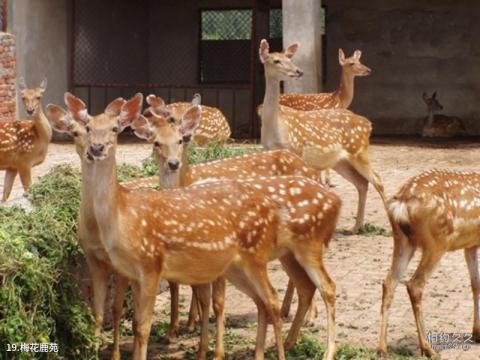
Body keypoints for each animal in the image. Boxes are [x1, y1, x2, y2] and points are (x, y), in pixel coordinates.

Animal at [131, 102, 342, 358]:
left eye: (179, 139)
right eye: (156, 142)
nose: (173, 163)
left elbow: (216, 301)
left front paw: (213, 349)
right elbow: (190, 290)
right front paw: (184, 333)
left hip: (306, 247)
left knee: (326, 286)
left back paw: (319, 340)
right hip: (289, 252)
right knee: (305, 285)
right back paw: (290, 337)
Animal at [258, 39, 386, 235]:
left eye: (289, 58)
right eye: (276, 60)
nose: (298, 71)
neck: (276, 127)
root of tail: (368, 124)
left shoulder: (295, 151)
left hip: (359, 151)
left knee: (378, 181)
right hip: (340, 161)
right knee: (362, 183)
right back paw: (355, 227)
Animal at [378, 169, 480, 358]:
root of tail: (401, 204)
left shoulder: (471, 244)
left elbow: (475, 284)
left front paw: (477, 333)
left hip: (402, 240)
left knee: (389, 283)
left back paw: (382, 348)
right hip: (437, 242)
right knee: (415, 284)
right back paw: (428, 349)